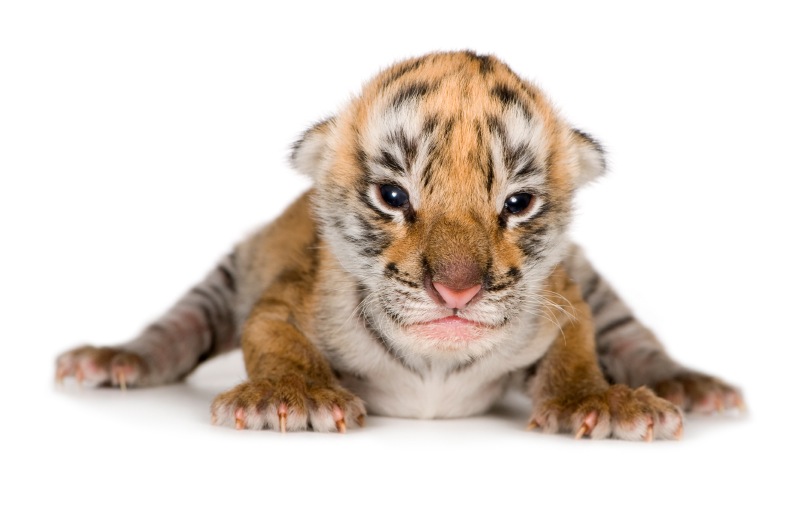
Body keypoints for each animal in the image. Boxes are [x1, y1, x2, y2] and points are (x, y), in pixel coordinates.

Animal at [54, 51, 743, 440]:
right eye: (392, 196)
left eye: (517, 204)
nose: (457, 290)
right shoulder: (283, 301)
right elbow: (275, 342)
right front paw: (290, 397)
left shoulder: (565, 303)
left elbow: (578, 355)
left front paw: (595, 401)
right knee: (179, 324)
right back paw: (112, 360)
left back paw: (694, 386)